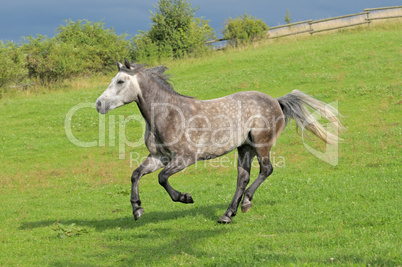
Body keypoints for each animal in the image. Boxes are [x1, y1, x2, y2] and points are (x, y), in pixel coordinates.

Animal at [95, 59, 342, 224]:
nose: (98, 104)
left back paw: (246, 203)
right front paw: (137, 209)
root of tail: (275, 100)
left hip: (261, 144)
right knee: (243, 178)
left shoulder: (184, 159)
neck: (168, 114)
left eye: (120, 81)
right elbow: (136, 174)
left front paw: (185, 198)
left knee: (266, 170)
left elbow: (162, 178)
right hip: (244, 148)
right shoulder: (159, 157)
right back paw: (227, 214)